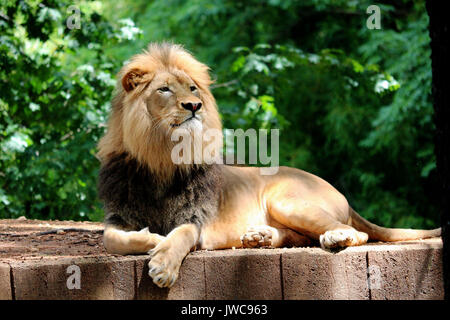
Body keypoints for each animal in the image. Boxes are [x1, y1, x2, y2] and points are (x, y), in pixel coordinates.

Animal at [97, 41, 440, 288]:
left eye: (192, 88)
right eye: (164, 89)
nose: (194, 105)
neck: (161, 157)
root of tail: (337, 190)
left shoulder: (195, 218)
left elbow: (179, 236)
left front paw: (163, 262)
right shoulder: (118, 216)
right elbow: (111, 238)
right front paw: (154, 238)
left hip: (287, 201)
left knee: (354, 233)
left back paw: (333, 238)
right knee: (300, 238)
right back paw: (260, 237)